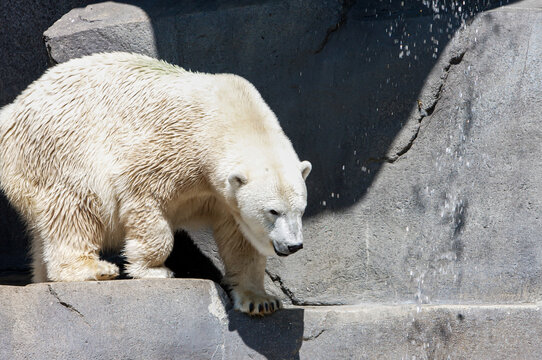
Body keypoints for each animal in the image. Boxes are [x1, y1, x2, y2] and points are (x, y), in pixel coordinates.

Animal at [0, 52, 312, 316]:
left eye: (300, 210)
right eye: (273, 211)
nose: (294, 245)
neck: (227, 115)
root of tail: (12, 110)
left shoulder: (225, 195)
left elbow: (241, 239)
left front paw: (260, 300)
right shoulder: (174, 147)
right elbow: (143, 194)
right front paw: (155, 270)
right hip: (60, 147)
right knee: (74, 206)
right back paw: (93, 269)